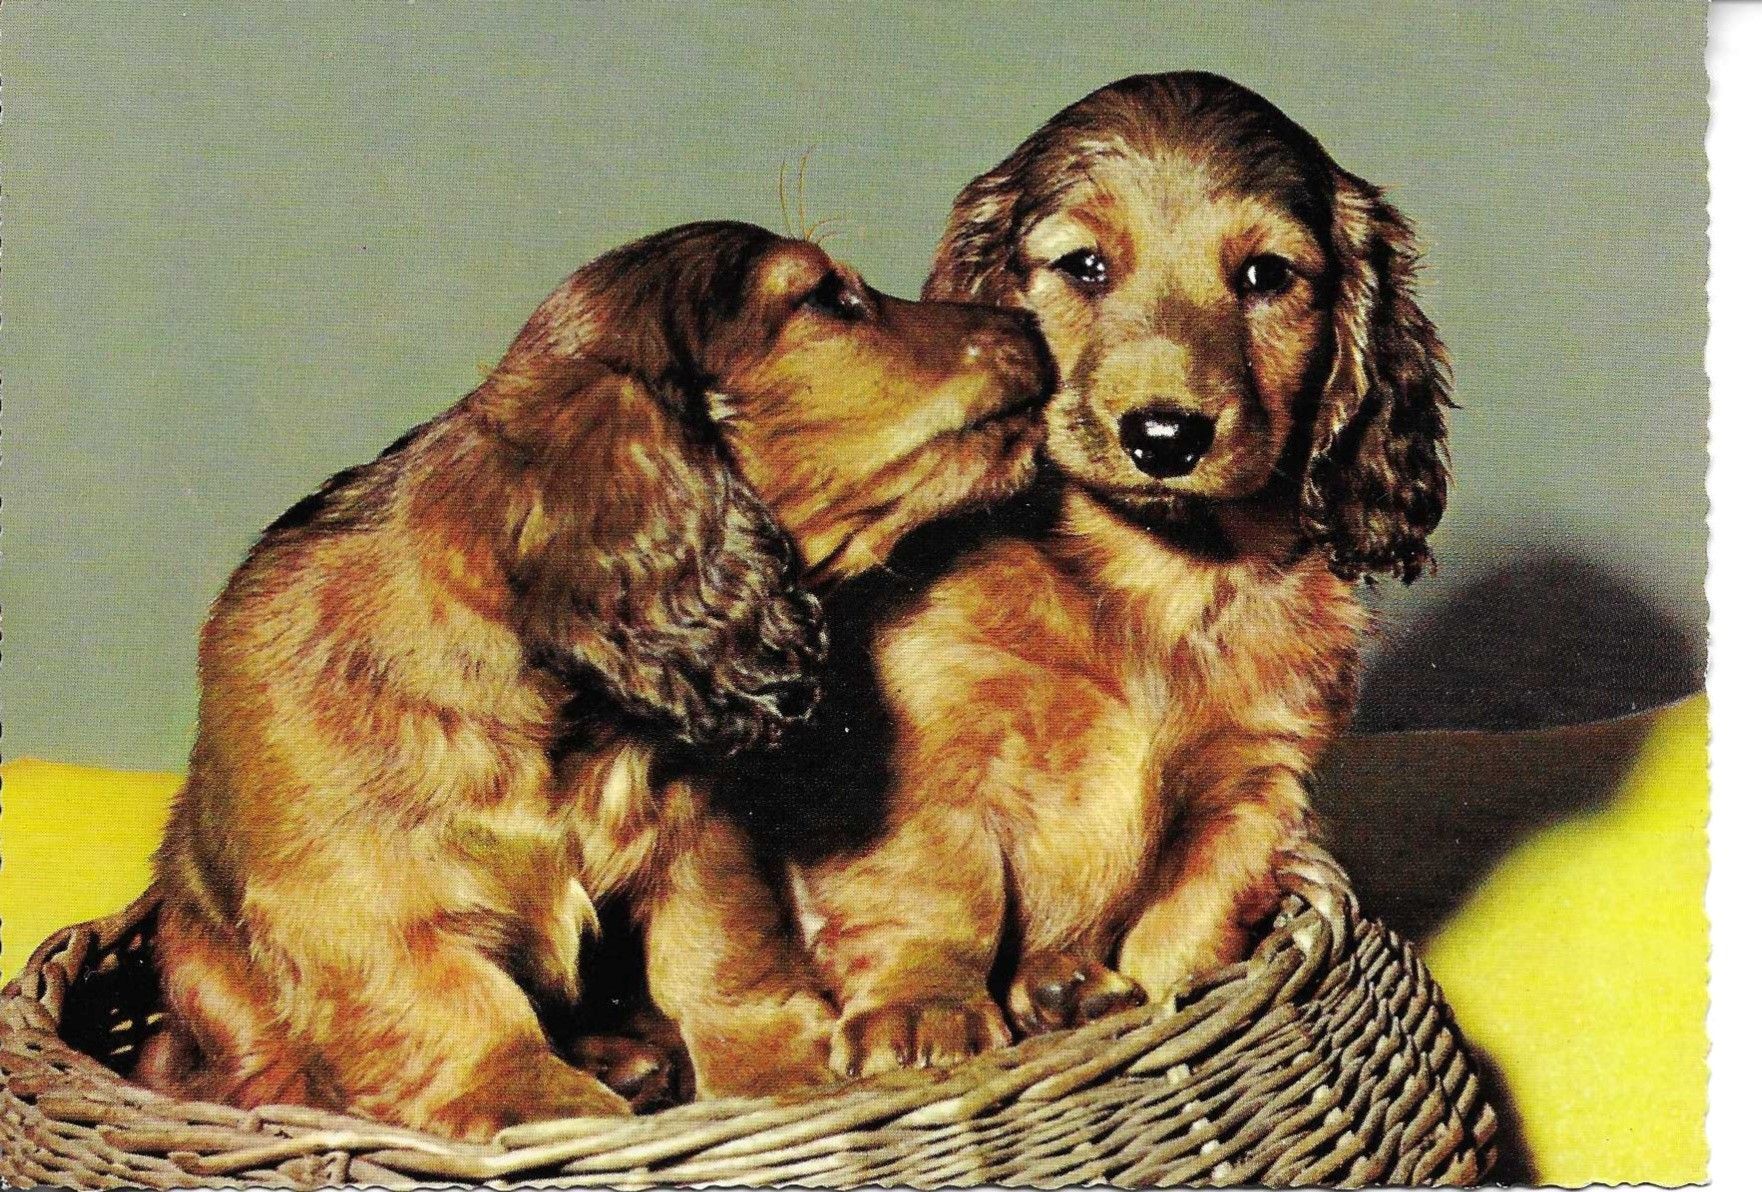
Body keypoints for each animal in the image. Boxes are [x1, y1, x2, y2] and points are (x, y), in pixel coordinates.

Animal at [144, 221, 1051, 1139]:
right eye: (828, 299)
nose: (1032, 323)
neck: (565, 717)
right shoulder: (353, 898)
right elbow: (451, 1001)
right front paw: (527, 1098)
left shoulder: (698, 836)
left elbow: (716, 957)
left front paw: (775, 1073)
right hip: (196, 959)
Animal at [767, 72, 1451, 1075]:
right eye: (1083, 266)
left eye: (1266, 276)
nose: (1165, 436)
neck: (1157, 575)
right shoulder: (923, 746)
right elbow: (936, 881)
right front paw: (924, 1009)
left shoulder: (1254, 786)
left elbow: (1191, 918)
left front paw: (1155, 997)